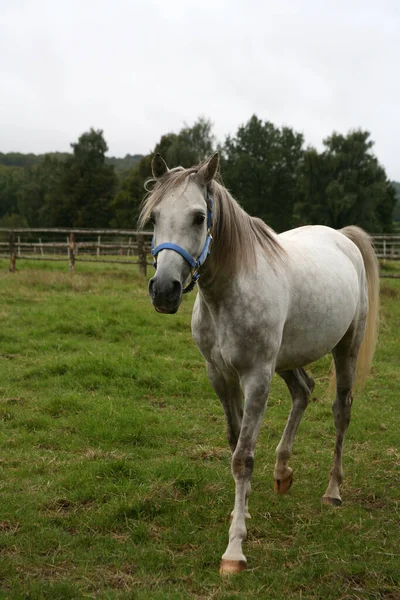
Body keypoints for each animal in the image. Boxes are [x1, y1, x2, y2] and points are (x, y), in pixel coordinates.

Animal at [139, 152, 380, 576]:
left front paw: (234, 549)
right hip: (286, 359)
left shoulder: (255, 378)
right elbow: (235, 442)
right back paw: (282, 473)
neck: (229, 290)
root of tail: (343, 237)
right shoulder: (220, 377)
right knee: (303, 392)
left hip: (344, 350)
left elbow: (243, 457)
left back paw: (332, 491)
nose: (164, 290)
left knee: (341, 411)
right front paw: (244, 512)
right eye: (154, 217)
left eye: (199, 217)